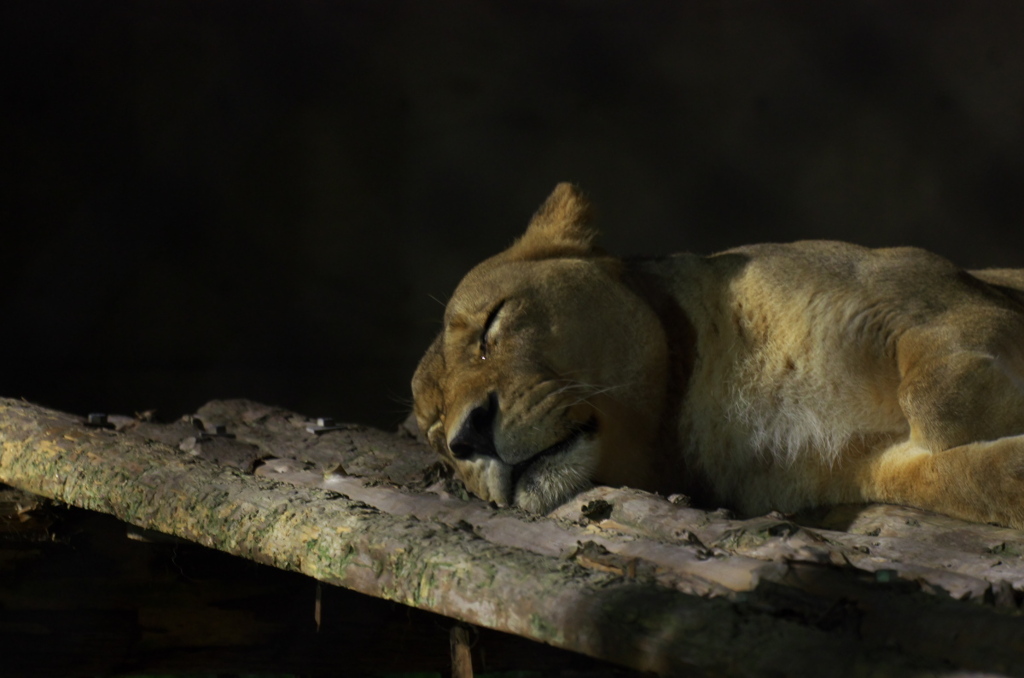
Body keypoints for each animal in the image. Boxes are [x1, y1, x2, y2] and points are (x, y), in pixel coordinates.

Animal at [407, 183, 1024, 528]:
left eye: (492, 324)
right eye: (437, 436)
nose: (468, 438)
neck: (698, 405)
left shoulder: (928, 298)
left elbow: (935, 401)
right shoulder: (861, 467)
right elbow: (972, 479)